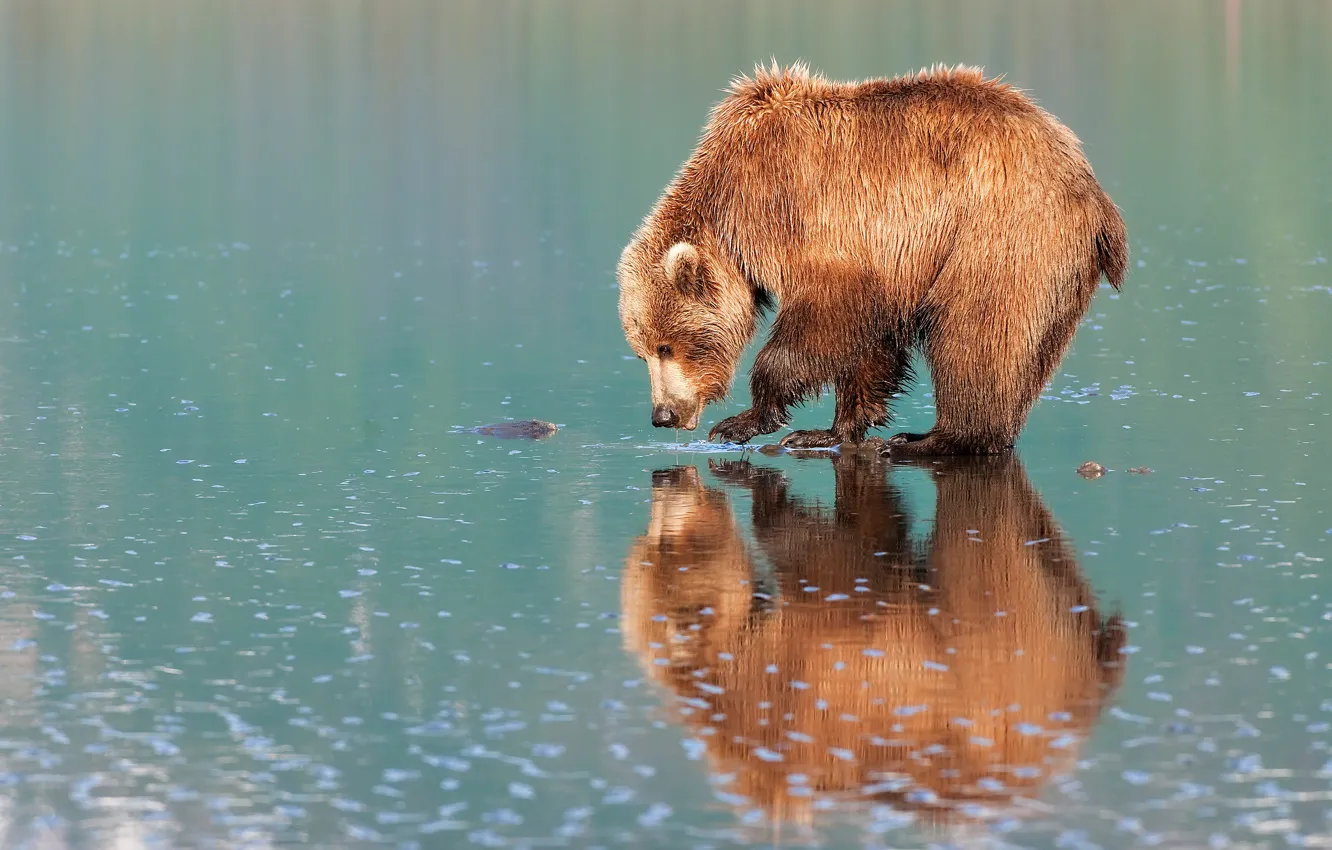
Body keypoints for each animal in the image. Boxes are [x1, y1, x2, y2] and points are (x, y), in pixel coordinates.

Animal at [617, 63, 1127, 454]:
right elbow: (870, 342)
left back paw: (934, 440)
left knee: (974, 334)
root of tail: (1095, 194)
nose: (663, 415)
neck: (727, 210)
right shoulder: (884, 261)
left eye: (667, 346)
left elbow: (825, 316)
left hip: (1000, 233)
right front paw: (828, 429)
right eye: (641, 350)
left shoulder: (797, 209)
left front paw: (743, 421)